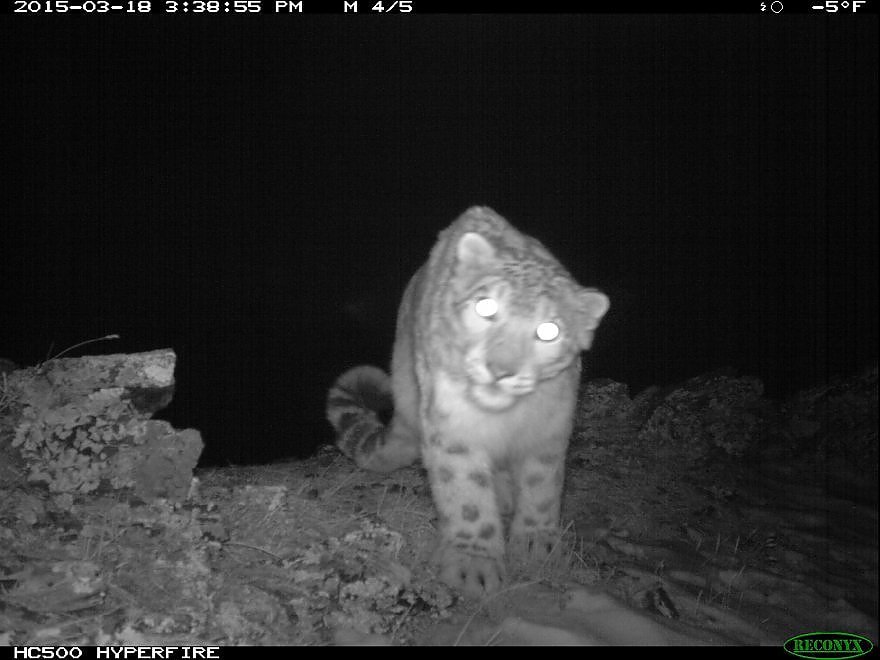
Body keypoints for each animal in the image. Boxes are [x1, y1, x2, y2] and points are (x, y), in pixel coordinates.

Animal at [326, 206, 609, 598]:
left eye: (549, 330)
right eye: (486, 306)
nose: (500, 369)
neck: (506, 421)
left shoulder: (549, 429)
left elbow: (543, 487)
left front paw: (537, 543)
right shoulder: (453, 430)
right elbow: (467, 497)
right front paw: (475, 566)